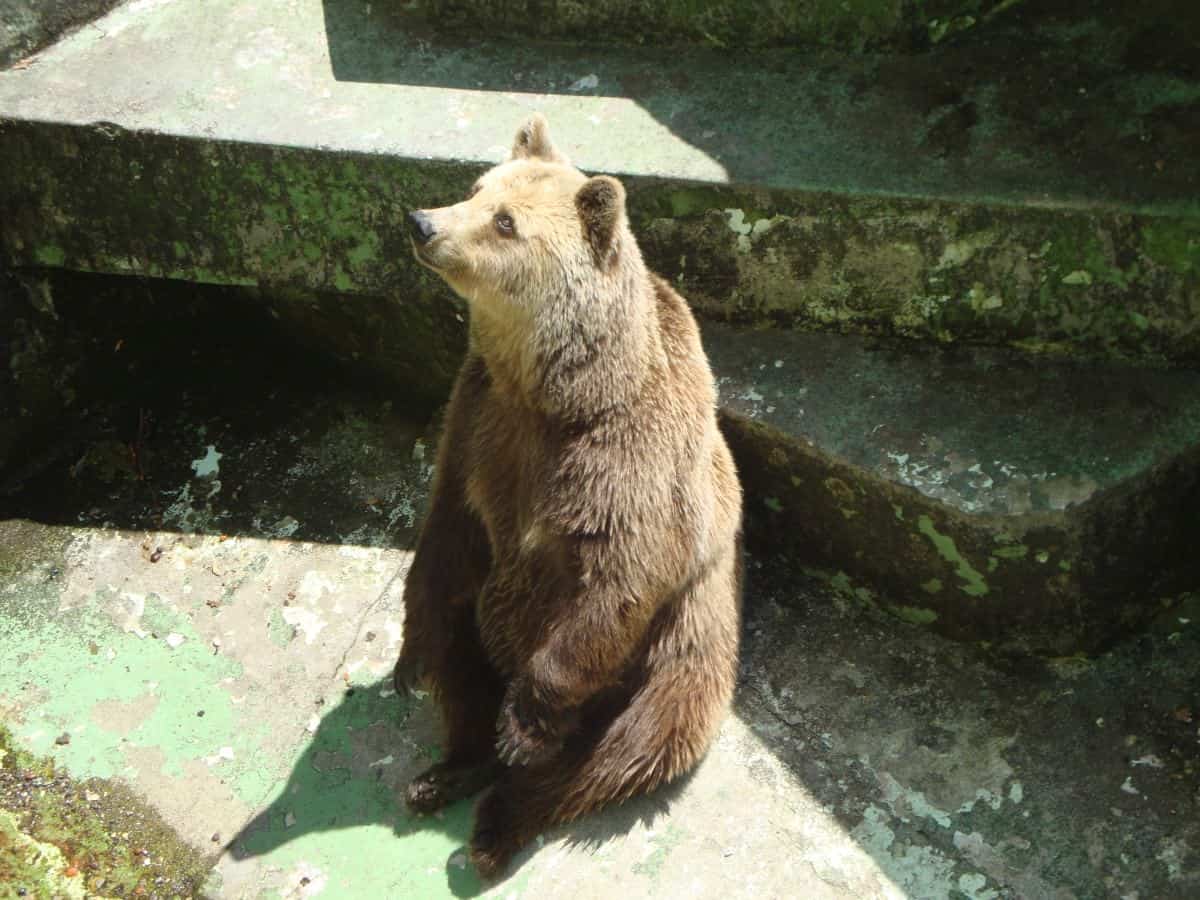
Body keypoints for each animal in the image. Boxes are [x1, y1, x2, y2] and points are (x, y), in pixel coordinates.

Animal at [396, 114, 739, 883]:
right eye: (477, 186)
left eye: (505, 221)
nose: (422, 221)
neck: (555, 392)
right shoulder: (479, 421)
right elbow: (443, 537)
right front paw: (408, 661)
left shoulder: (630, 463)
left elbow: (619, 578)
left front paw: (522, 729)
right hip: (490, 614)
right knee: (462, 659)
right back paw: (443, 772)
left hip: (682, 656)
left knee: (620, 756)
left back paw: (497, 824)